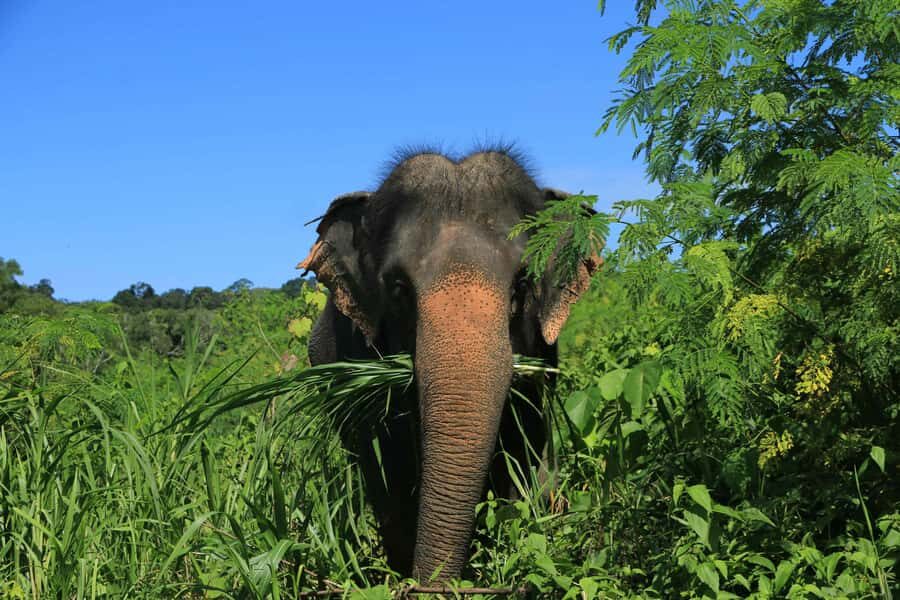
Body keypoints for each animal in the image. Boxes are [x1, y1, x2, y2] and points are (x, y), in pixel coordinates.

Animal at [297, 147, 601, 582]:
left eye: (522, 286)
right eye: (399, 290)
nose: (430, 586)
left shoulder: (542, 359)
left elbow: (523, 450)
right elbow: (388, 468)